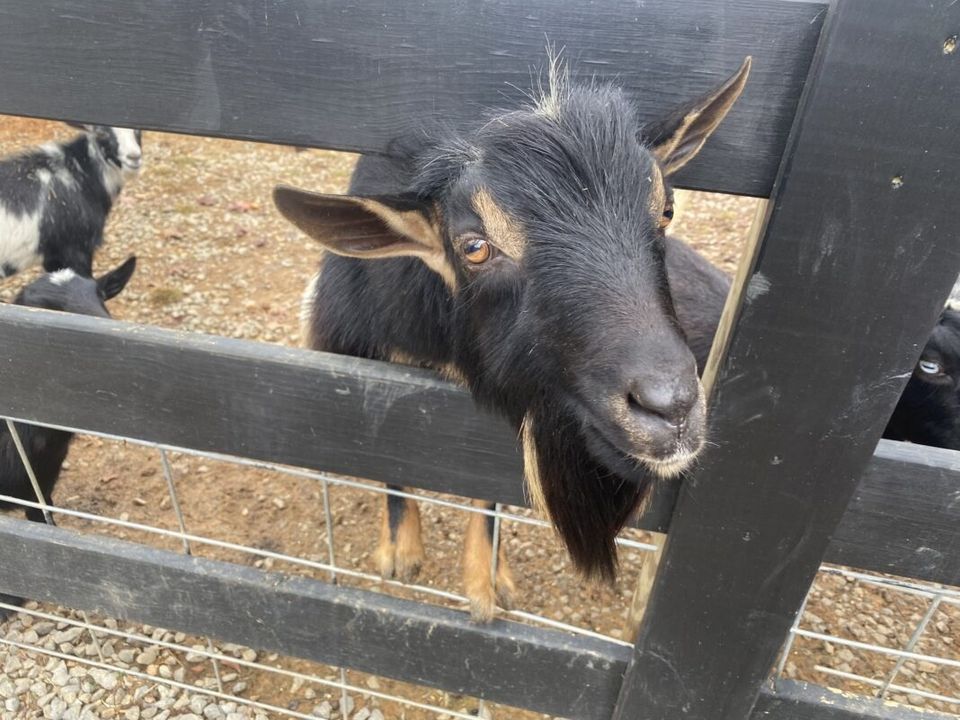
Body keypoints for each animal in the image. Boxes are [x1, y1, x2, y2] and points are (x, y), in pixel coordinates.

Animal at [274, 57, 752, 620]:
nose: (670, 406)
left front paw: (486, 582)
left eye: (667, 210)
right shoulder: (381, 365)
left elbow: (488, 488)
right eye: (475, 247)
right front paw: (402, 549)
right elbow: (391, 448)